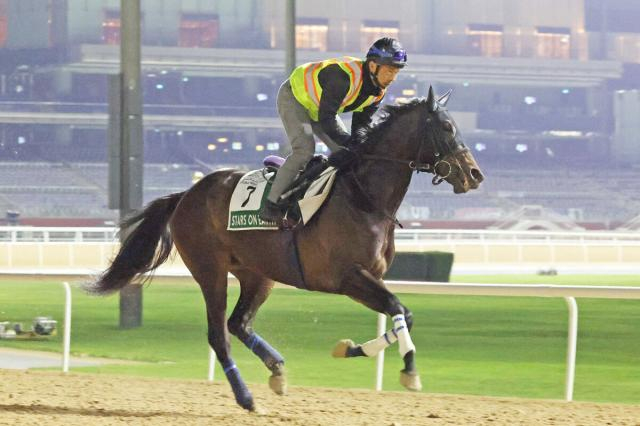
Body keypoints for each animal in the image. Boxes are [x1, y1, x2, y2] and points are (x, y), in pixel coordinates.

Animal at [86, 86, 484, 410]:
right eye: (447, 128)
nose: (474, 175)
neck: (364, 198)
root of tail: (186, 194)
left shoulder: (371, 277)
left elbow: (403, 313)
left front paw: (350, 348)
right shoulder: (348, 277)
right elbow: (399, 308)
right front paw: (409, 370)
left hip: (258, 274)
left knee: (238, 323)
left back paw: (277, 370)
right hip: (210, 270)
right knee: (219, 334)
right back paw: (247, 399)